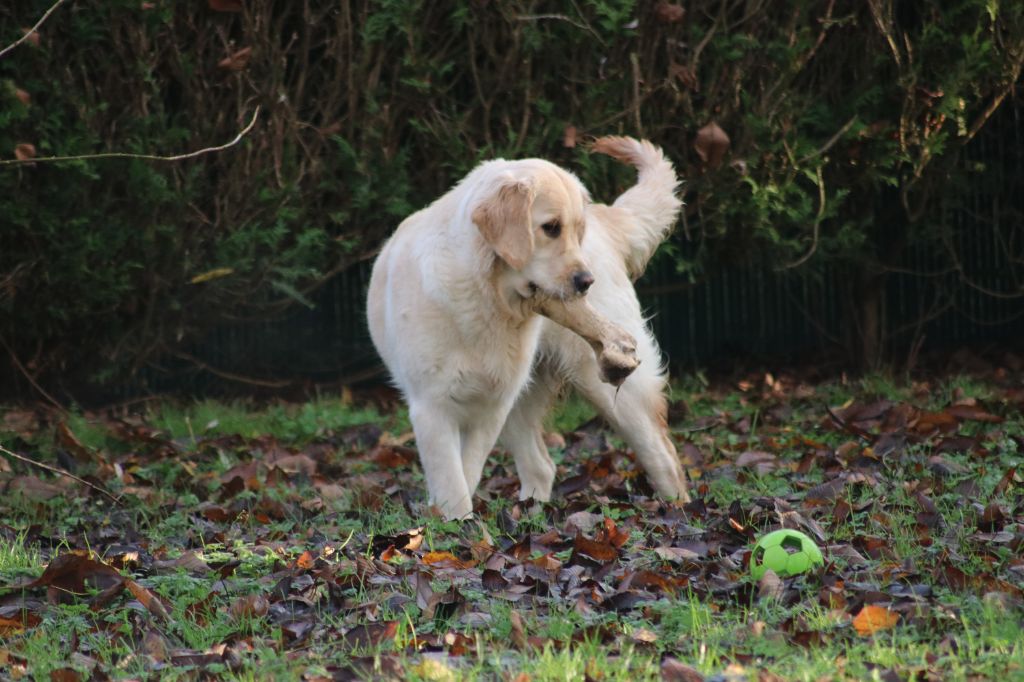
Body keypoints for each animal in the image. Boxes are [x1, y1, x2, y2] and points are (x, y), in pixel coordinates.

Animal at [364, 135, 692, 516]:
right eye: (551, 228)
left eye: (577, 232)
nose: (586, 281)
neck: (485, 296)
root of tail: (605, 217)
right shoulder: (433, 407)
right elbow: (451, 478)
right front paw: (454, 522)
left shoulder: (490, 407)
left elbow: (465, 472)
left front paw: (455, 524)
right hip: (522, 403)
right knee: (542, 466)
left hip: (610, 392)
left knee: (663, 456)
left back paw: (677, 512)